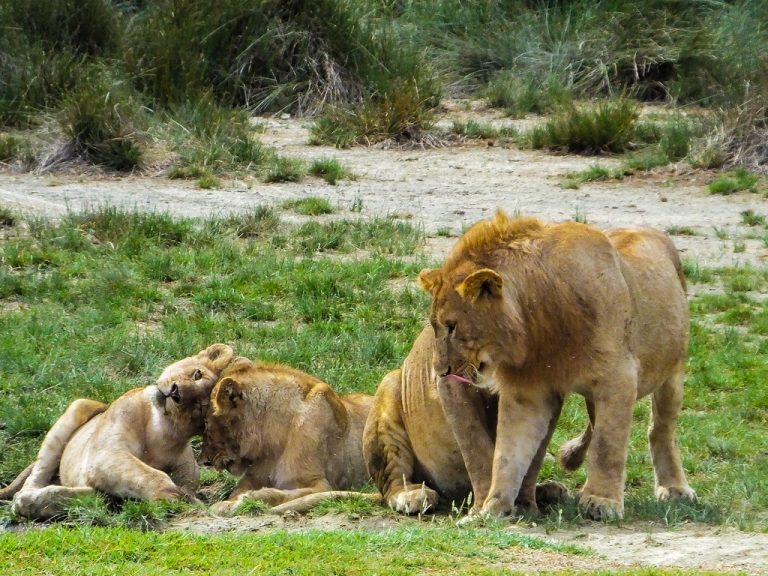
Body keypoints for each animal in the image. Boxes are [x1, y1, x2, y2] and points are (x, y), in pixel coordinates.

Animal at [0, 344, 235, 519]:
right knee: (32, 480)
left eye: (199, 407)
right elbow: (154, 477)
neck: (160, 429)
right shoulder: (106, 453)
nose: (175, 393)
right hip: (78, 407)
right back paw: (27, 499)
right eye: (197, 374)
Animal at [200, 356, 375, 515]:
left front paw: (243, 501)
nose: (205, 461)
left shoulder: (320, 484)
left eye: (207, 423)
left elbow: (277, 494)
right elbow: (236, 491)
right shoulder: (253, 478)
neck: (272, 444)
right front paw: (229, 502)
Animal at [363, 324, 574, 515]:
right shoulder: (454, 379)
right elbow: (477, 449)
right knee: (392, 486)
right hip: (389, 386)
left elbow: (531, 456)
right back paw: (414, 495)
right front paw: (485, 508)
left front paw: (525, 506)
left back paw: (549, 491)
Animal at [416, 210, 696, 520]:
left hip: (673, 371)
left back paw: (674, 488)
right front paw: (493, 507)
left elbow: (607, 446)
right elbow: (508, 452)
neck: (537, 322)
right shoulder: (529, 391)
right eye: (436, 326)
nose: (440, 371)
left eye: (452, 326)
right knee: (596, 423)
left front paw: (602, 502)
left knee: (661, 429)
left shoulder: (619, 378)